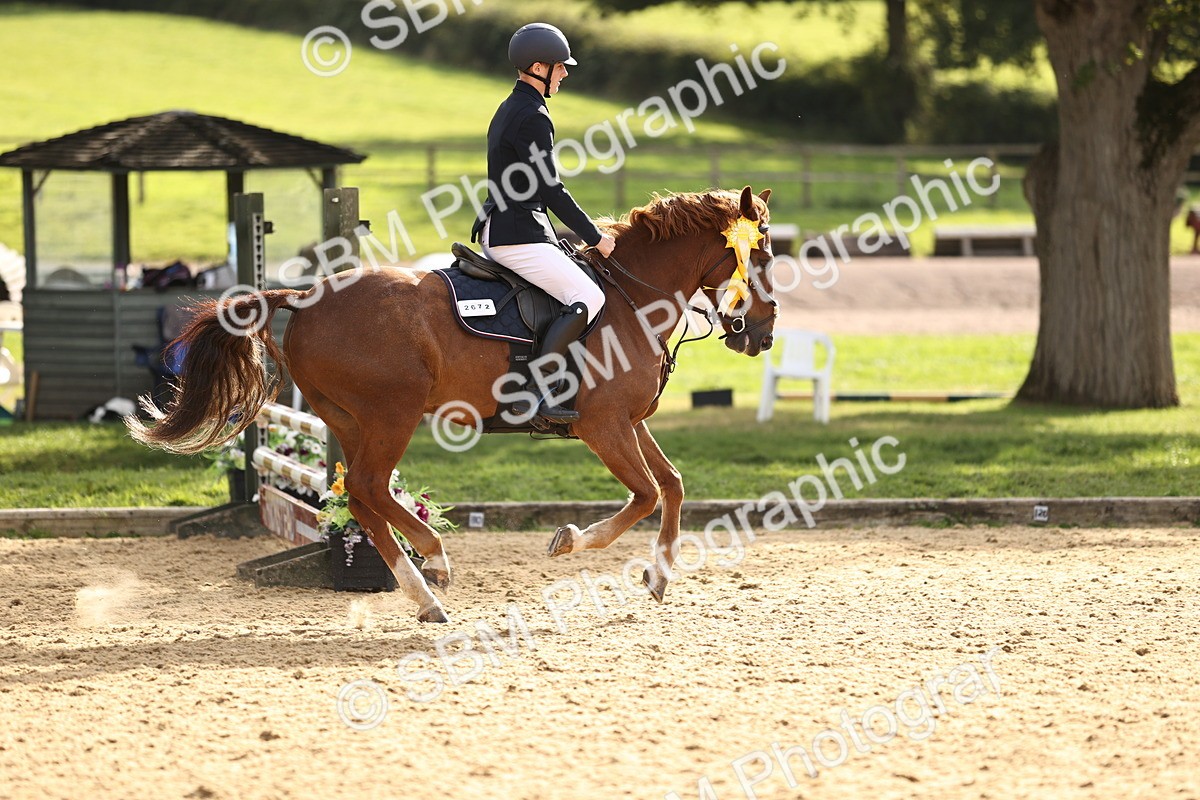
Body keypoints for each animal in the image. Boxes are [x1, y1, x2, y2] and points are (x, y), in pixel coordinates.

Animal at [127, 186, 780, 623]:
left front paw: (659, 576)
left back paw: (424, 591)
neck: (630, 296)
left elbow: (671, 486)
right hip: (392, 414)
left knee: (360, 498)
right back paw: (435, 564)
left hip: (351, 419)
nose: (763, 334)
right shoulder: (602, 424)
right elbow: (643, 495)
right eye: (764, 255)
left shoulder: (629, 421)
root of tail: (307, 295)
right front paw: (570, 539)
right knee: (368, 488)